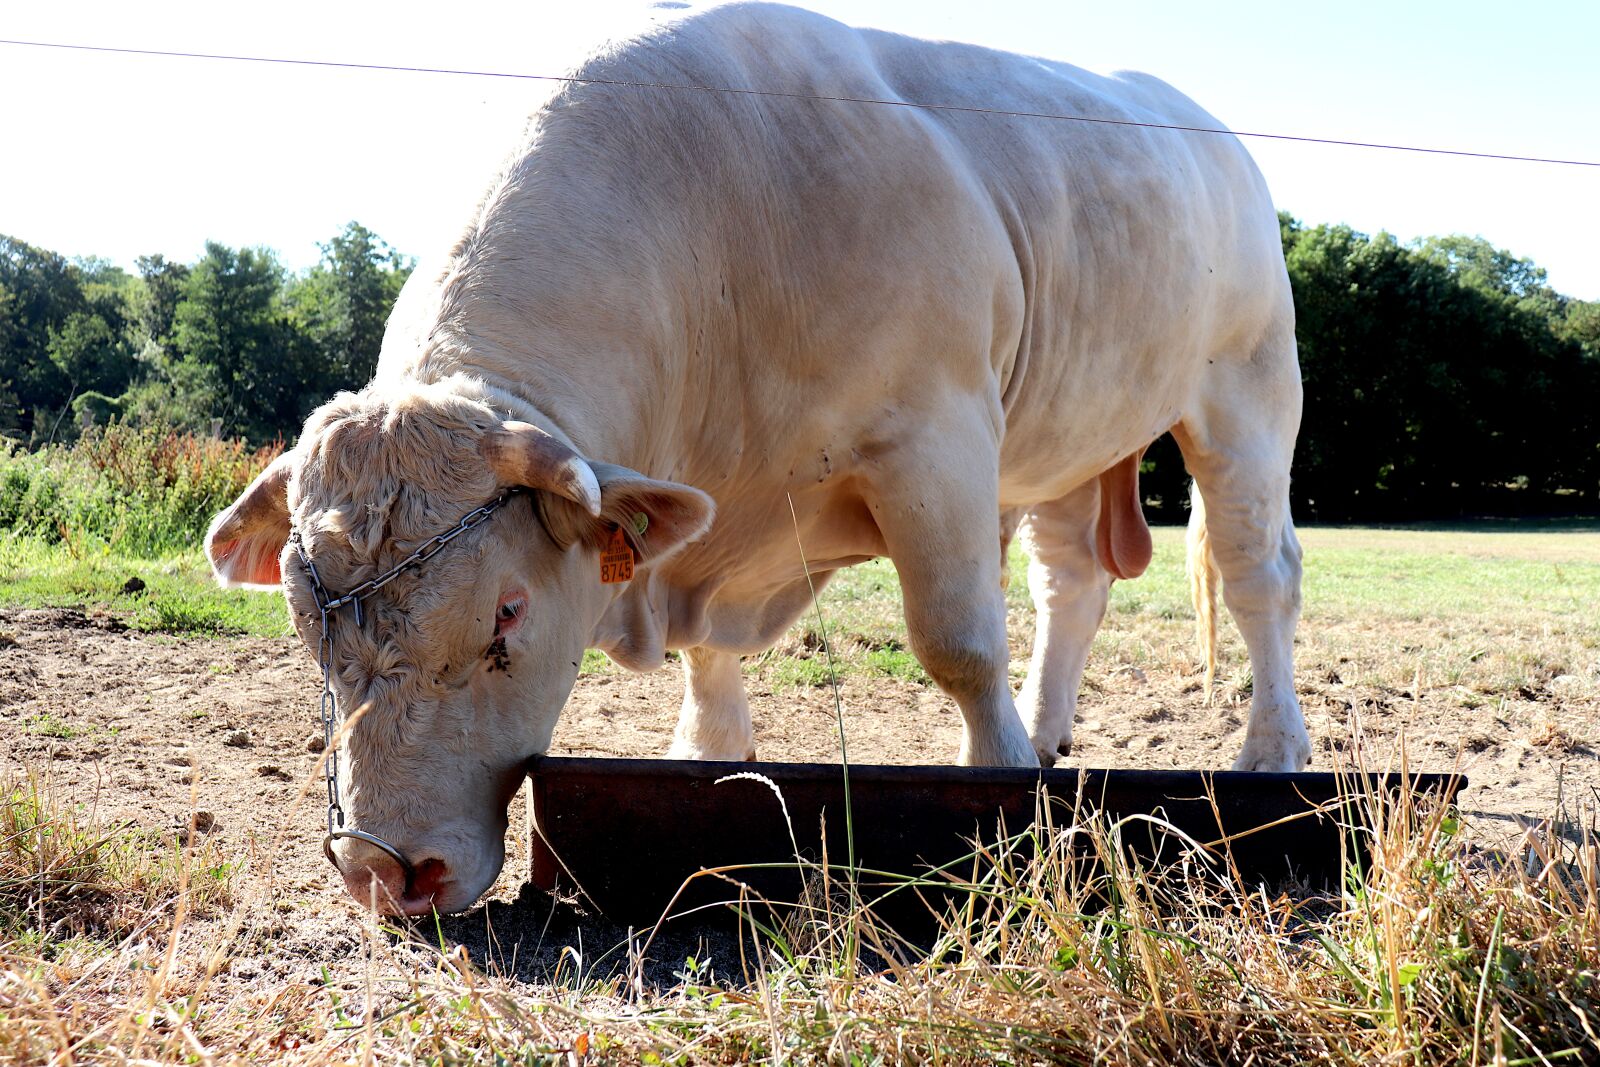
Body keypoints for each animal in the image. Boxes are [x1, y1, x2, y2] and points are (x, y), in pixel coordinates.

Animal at [206, 2, 1305, 921]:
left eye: (507, 610)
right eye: (305, 619)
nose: (385, 869)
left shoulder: (938, 442)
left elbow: (957, 640)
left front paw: (997, 781)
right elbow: (711, 659)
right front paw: (705, 752)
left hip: (1246, 391)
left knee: (1258, 573)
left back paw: (1270, 747)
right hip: (1067, 443)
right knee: (1069, 582)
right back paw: (1048, 730)